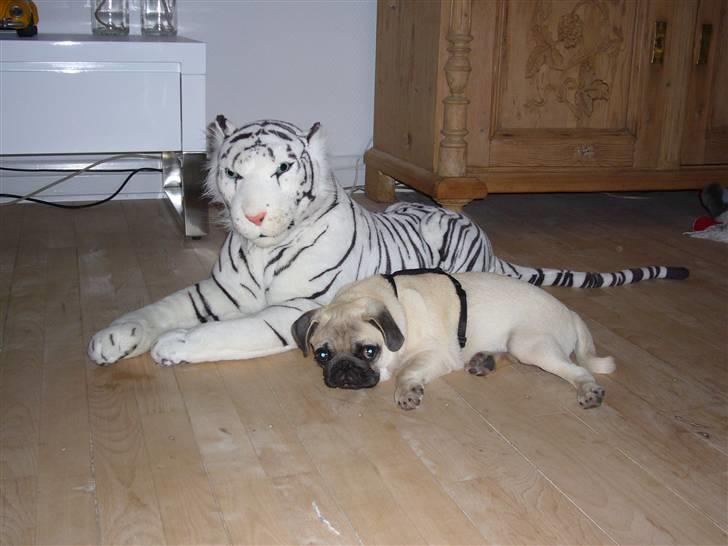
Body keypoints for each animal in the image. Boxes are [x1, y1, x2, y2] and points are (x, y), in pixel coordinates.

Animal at [88, 117, 688, 366]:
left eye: (282, 168)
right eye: (234, 174)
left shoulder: (295, 310)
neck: (260, 252)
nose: (254, 215)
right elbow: (160, 307)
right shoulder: (215, 293)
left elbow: (226, 332)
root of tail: (490, 246)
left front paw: (175, 346)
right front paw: (113, 339)